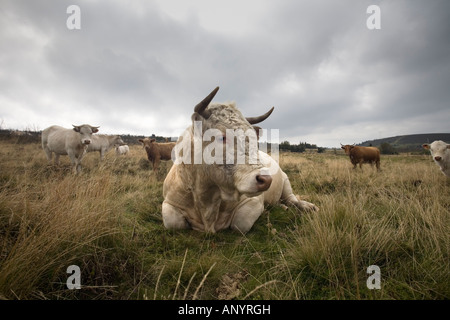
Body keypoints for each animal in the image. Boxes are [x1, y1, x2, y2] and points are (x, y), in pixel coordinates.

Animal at [162, 86, 316, 234]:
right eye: (222, 137)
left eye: (254, 139)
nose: (266, 180)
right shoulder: (168, 203)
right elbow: (173, 223)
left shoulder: (253, 201)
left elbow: (240, 224)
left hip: (285, 181)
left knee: (292, 199)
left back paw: (307, 206)